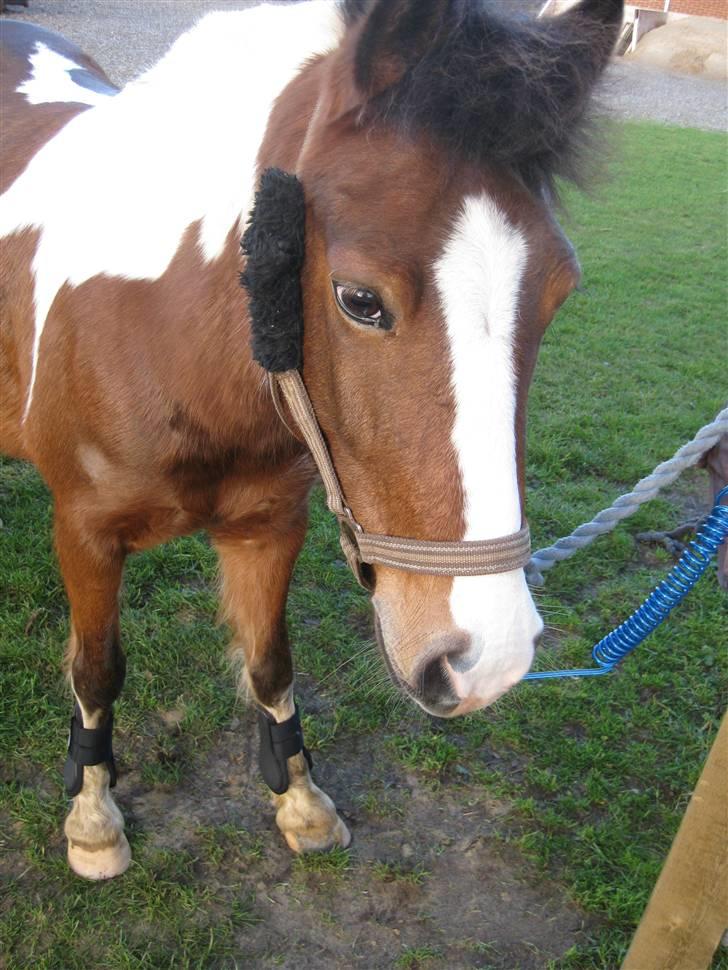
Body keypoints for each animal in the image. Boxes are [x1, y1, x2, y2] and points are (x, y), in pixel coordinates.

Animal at [0, 0, 624, 876]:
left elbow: (271, 665)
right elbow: (96, 672)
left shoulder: (267, 527)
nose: (487, 657)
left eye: (559, 294)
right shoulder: (84, 531)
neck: (161, 331)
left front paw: (299, 803)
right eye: (359, 299)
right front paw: (92, 818)